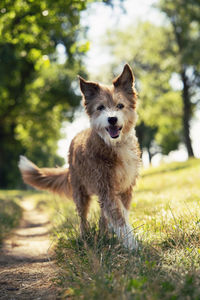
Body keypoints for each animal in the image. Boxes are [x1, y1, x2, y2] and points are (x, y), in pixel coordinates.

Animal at [18, 64, 141, 250]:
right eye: (100, 107)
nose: (112, 119)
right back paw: (86, 238)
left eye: (120, 105)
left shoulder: (125, 187)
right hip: (80, 193)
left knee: (103, 216)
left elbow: (122, 214)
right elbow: (118, 217)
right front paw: (132, 246)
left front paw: (124, 240)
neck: (114, 145)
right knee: (83, 219)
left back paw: (104, 235)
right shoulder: (106, 188)